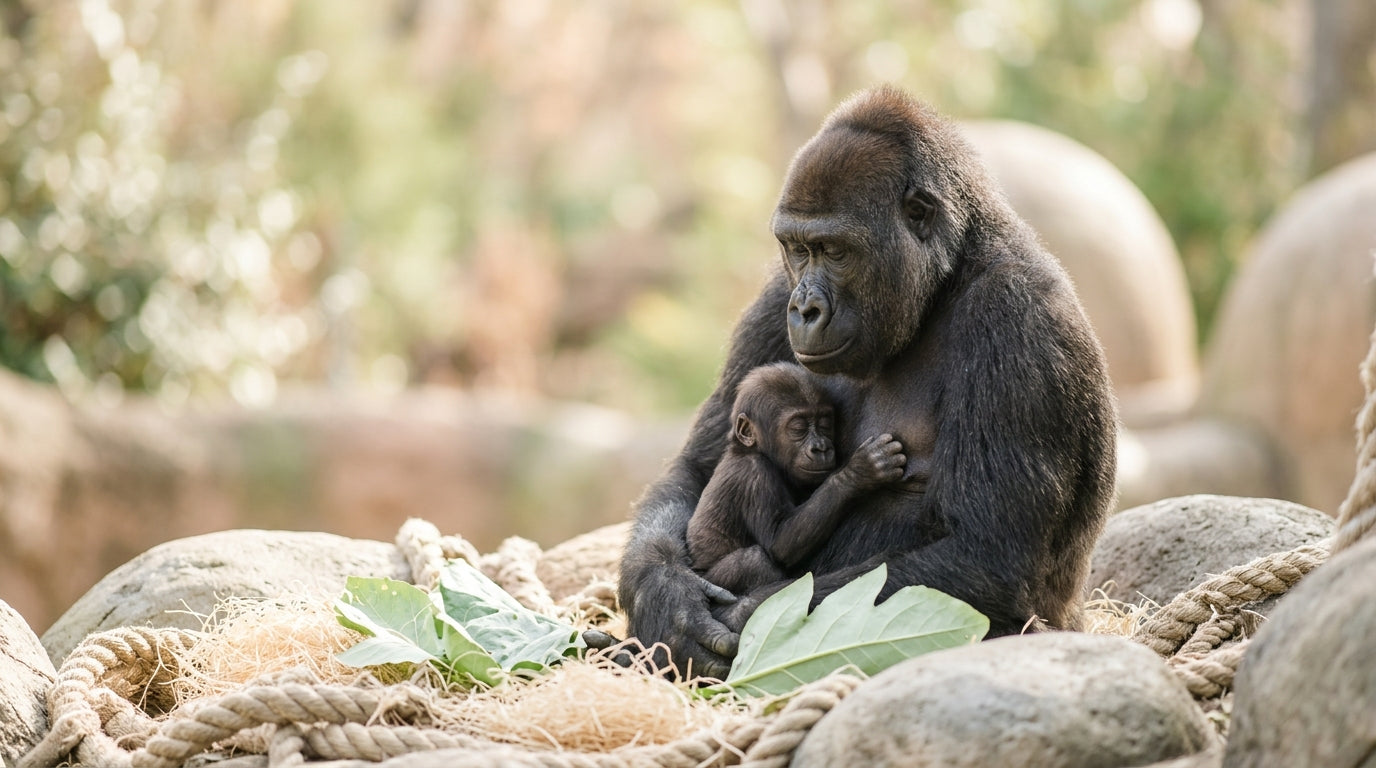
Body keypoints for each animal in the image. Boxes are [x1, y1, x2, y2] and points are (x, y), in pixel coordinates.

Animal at [686, 362, 906, 596]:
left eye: (825, 424)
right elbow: (779, 541)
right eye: (798, 428)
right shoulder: (755, 474)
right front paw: (860, 471)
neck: (751, 450)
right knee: (754, 562)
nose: (821, 448)